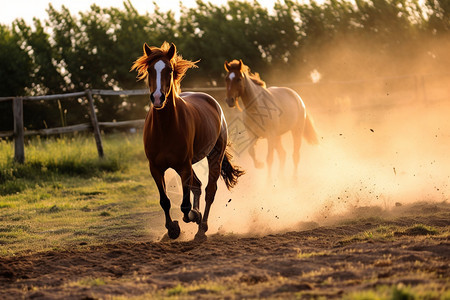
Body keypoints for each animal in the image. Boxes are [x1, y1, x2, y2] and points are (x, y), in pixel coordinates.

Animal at [130, 42, 243, 240]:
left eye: (169, 70)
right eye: (150, 69)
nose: (158, 98)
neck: (165, 128)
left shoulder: (183, 166)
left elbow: (185, 205)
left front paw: (193, 216)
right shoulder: (156, 168)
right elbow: (165, 201)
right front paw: (172, 229)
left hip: (213, 156)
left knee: (209, 191)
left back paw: (202, 228)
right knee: (197, 186)